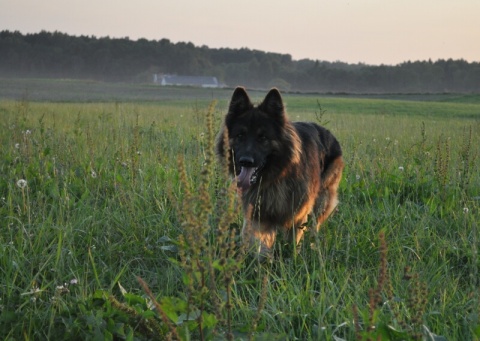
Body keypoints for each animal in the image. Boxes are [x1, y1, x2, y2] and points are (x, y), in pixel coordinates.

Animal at [216, 87, 344, 258]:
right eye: (240, 135)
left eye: (263, 137)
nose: (245, 161)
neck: (276, 177)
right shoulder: (258, 216)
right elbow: (259, 246)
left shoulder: (298, 216)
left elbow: (293, 245)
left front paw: (293, 259)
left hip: (321, 202)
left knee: (314, 228)